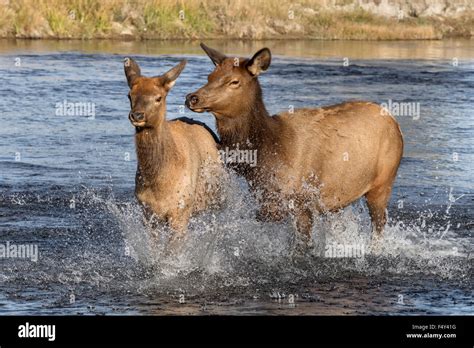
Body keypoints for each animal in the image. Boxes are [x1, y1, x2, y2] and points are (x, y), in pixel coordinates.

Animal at [186, 43, 404, 251]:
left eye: (234, 81)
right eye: (209, 77)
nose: (192, 97)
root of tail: (395, 123)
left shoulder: (301, 202)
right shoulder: (268, 202)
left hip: (382, 183)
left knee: (379, 226)